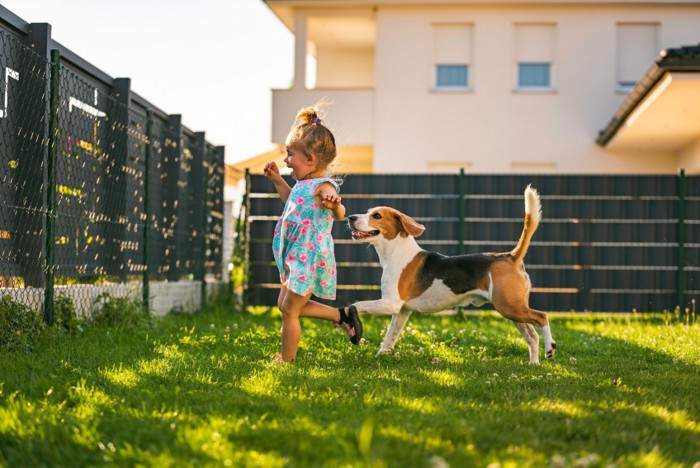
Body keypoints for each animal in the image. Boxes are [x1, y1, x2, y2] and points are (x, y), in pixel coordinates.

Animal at [348, 185, 556, 364]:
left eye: (376, 215)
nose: (350, 217)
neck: (395, 252)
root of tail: (511, 256)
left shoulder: (390, 304)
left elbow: (356, 305)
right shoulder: (401, 311)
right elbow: (390, 336)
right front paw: (381, 355)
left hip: (510, 307)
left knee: (542, 317)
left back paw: (550, 348)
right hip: (512, 310)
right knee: (532, 336)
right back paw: (534, 364)